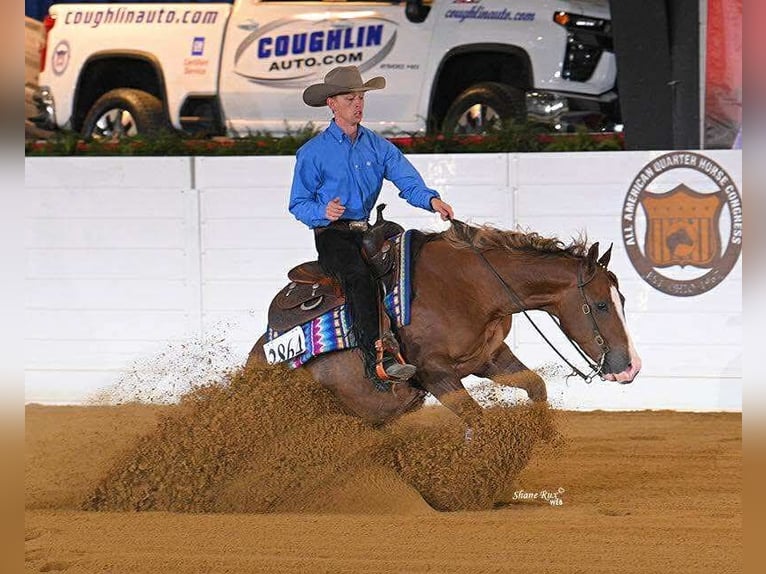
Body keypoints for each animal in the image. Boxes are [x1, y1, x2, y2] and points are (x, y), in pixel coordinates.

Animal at [246, 221, 641, 428]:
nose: (631, 367)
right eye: (601, 304)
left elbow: (535, 385)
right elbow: (477, 420)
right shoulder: (435, 373)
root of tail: (257, 360)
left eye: (621, 301)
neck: (472, 286)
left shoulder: (489, 358)